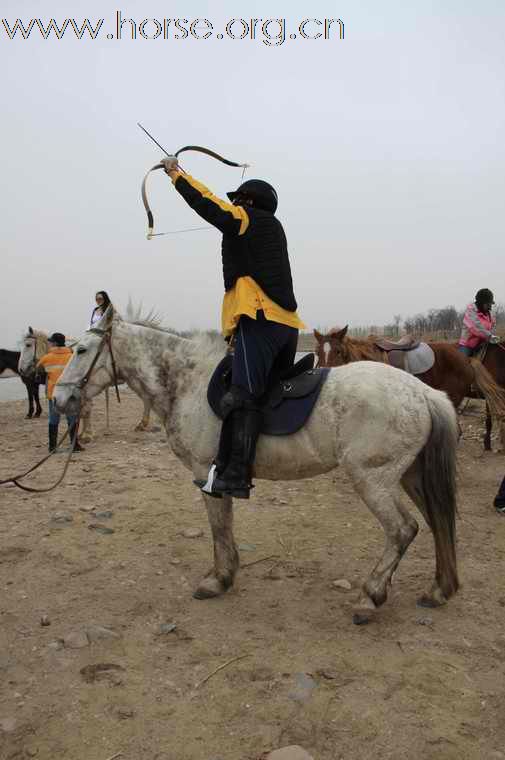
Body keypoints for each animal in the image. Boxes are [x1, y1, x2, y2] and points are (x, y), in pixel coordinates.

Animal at [17, 326, 153, 440]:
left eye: (28, 345)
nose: (21, 369)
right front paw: (83, 433)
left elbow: (85, 411)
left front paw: (87, 434)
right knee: (146, 397)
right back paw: (143, 423)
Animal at [53, 308, 458, 624]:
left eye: (82, 350)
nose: (59, 398)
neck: (188, 381)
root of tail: (424, 393)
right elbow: (225, 525)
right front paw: (226, 574)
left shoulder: (205, 473)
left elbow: (219, 527)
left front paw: (218, 579)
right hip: (410, 476)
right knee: (438, 522)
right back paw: (439, 589)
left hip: (373, 480)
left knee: (403, 530)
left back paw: (370, 596)